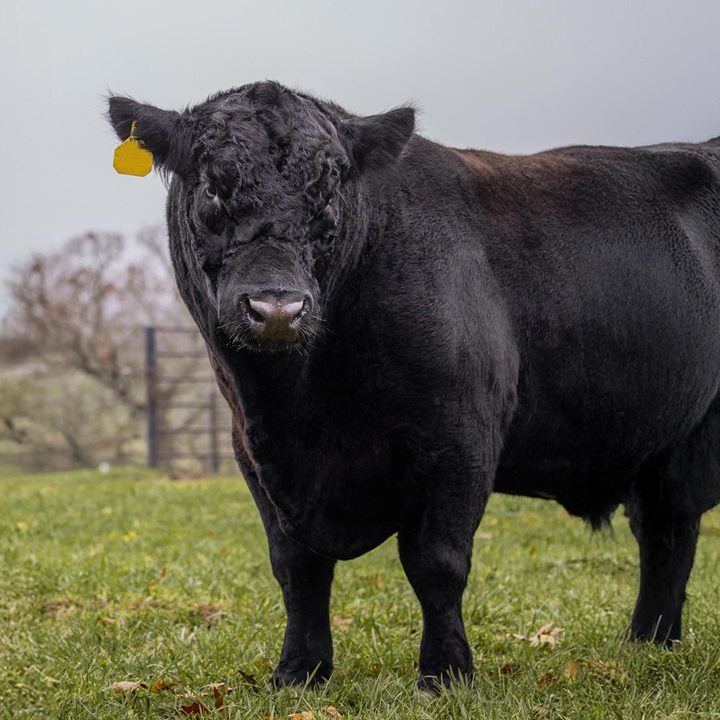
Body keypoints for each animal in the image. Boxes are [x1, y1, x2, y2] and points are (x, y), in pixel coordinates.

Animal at [107, 81, 720, 690]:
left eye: (327, 195)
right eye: (213, 186)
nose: (276, 308)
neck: (302, 409)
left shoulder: (459, 438)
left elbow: (436, 563)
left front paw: (445, 673)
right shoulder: (253, 454)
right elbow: (297, 568)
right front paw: (299, 671)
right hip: (669, 445)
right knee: (666, 532)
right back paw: (648, 643)